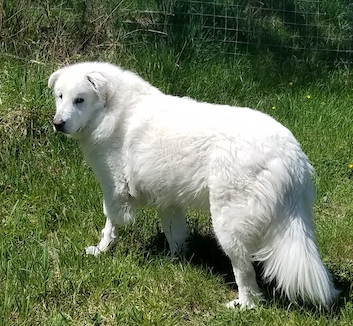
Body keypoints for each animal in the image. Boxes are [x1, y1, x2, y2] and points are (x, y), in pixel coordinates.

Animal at [48, 62, 336, 310]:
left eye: (79, 99)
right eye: (60, 96)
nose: (57, 124)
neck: (112, 111)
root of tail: (289, 154)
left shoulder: (115, 190)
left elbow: (110, 225)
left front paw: (100, 251)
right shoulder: (168, 200)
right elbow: (174, 234)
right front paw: (175, 261)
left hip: (228, 224)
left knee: (245, 273)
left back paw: (242, 305)